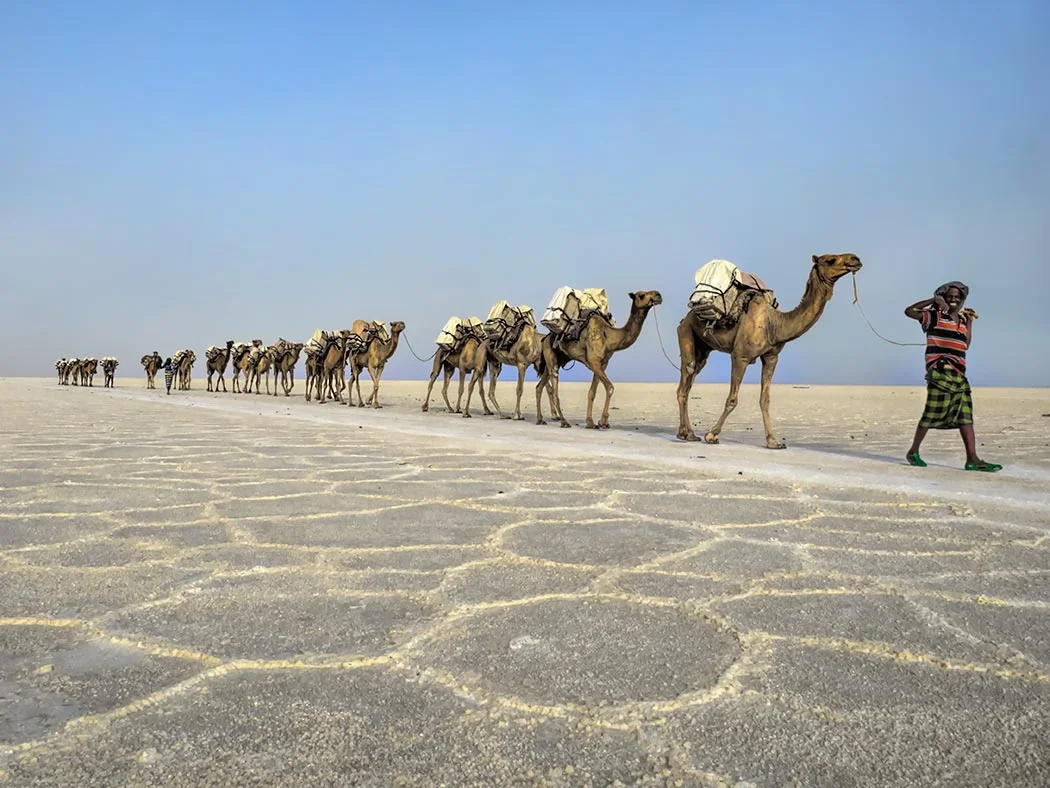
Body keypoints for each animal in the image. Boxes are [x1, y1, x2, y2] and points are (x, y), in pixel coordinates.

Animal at [536, 290, 663, 429]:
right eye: (641, 295)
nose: (658, 295)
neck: (609, 336)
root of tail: (545, 339)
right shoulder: (593, 362)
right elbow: (610, 387)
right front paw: (603, 421)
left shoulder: (602, 364)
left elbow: (592, 392)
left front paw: (590, 422)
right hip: (551, 357)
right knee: (554, 390)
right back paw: (564, 422)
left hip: (557, 360)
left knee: (539, 386)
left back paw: (540, 419)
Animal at [676, 253, 863, 449]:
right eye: (830, 260)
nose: (855, 259)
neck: (774, 324)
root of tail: (686, 317)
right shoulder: (740, 356)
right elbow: (732, 399)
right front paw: (712, 435)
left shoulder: (771, 357)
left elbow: (765, 400)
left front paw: (773, 441)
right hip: (685, 331)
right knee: (686, 378)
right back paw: (687, 434)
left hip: (704, 348)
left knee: (690, 380)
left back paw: (686, 433)